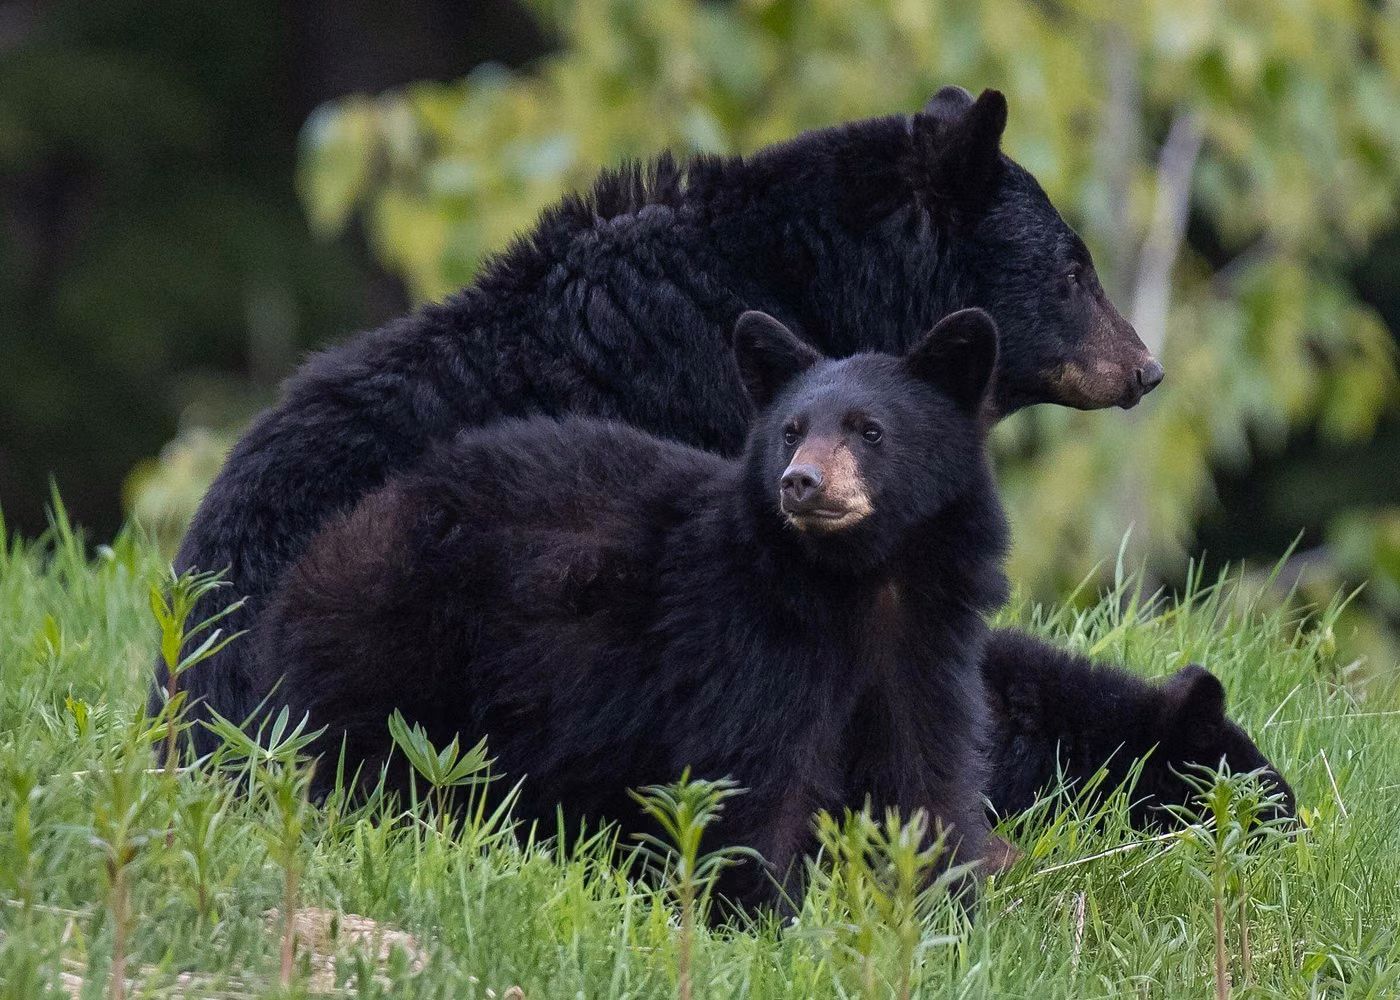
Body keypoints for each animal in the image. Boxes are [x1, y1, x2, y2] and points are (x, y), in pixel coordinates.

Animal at [251, 307, 1010, 913]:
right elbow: (755, 778)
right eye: (791, 431)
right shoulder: (746, 633)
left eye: (870, 430)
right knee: (358, 754)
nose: (801, 483)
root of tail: (332, 537)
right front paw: (763, 919)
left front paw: (950, 914)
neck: (854, 585)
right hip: (391, 639)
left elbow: (925, 779)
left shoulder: (926, 643)